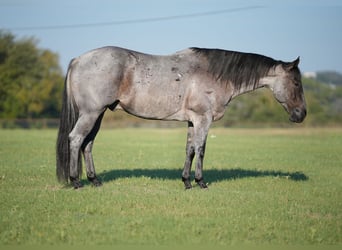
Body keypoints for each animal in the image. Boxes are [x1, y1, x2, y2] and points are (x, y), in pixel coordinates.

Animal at [56, 46, 308, 188]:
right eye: (296, 82)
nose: (302, 114)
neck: (213, 74)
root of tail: (78, 59)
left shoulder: (192, 121)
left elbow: (190, 149)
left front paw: (186, 181)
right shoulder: (203, 119)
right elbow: (201, 150)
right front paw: (200, 182)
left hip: (97, 115)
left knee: (87, 144)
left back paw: (94, 180)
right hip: (90, 114)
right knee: (76, 139)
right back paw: (76, 181)